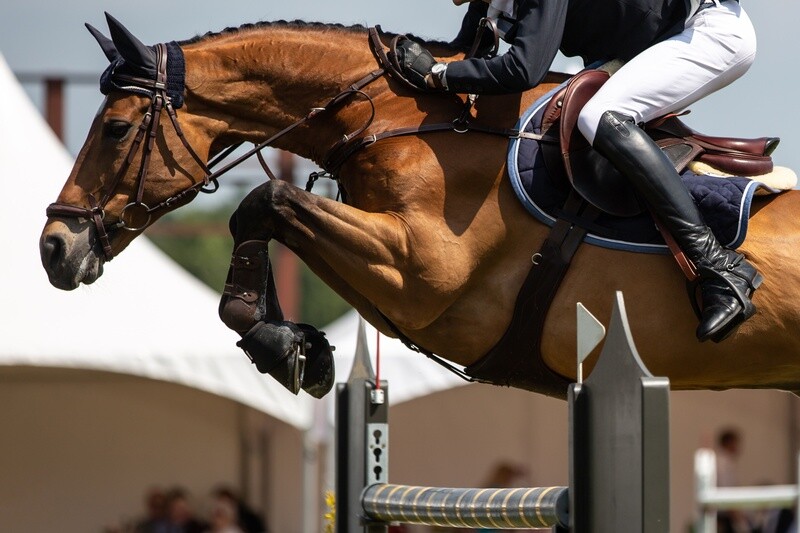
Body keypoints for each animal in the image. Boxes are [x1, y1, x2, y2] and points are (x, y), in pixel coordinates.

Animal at [39, 13, 800, 400]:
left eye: (115, 129)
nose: (53, 246)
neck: (404, 119)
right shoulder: (394, 278)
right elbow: (272, 216)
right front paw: (293, 346)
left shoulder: (422, 271)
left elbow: (263, 201)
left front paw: (279, 342)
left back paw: (725, 291)